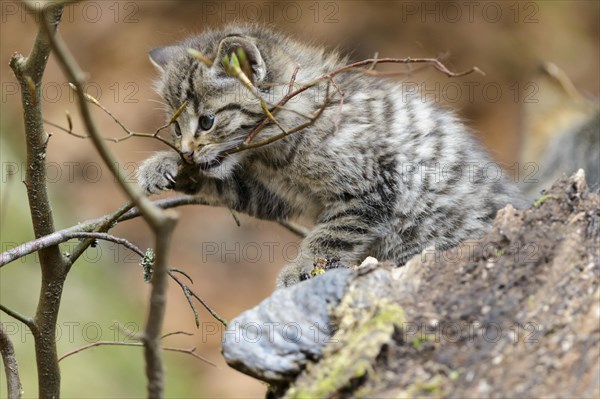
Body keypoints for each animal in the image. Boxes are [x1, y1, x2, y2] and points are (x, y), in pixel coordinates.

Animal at [138, 24, 524, 288]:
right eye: (176, 129)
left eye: (207, 121)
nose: (186, 150)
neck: (275, 153)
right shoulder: (275, 194)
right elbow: (229, 187)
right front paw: (165, 166)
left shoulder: (371, 184)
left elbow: (331, 234)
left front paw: (302, 267)